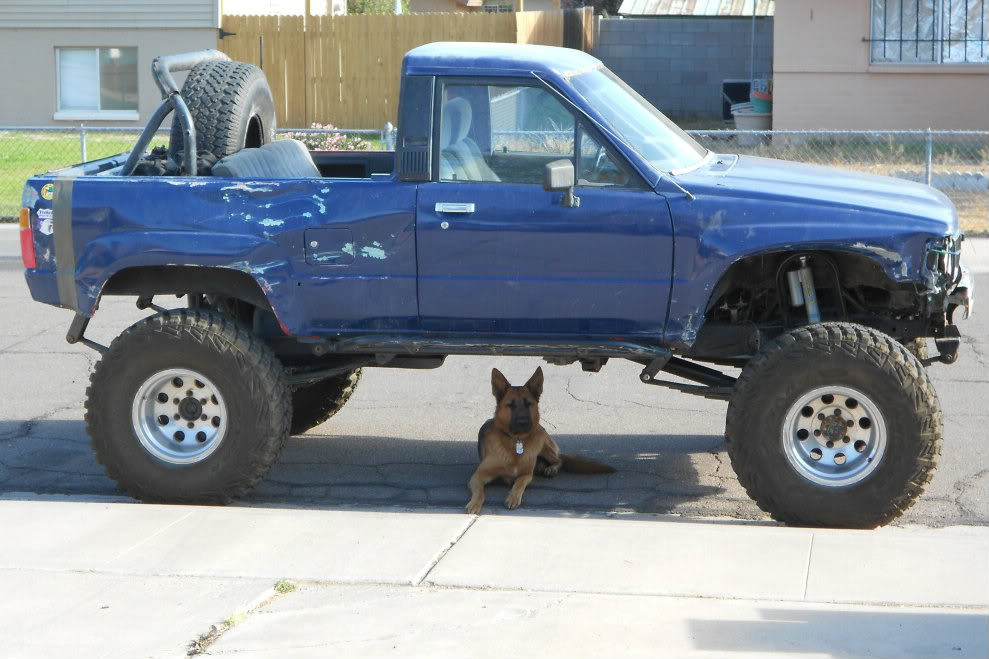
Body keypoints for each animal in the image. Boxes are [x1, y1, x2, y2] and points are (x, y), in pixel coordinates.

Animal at [464, 366, 608, 516]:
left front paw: (513, 497)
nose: (523, 422)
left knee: (559, 460)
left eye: (528, 404)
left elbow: (519, 483)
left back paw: (550, 468)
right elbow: (480, 492)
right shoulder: (477, 476)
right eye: (511, 405)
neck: (517, 441)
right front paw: (474, 503)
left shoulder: (527, 475)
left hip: (543, 443)